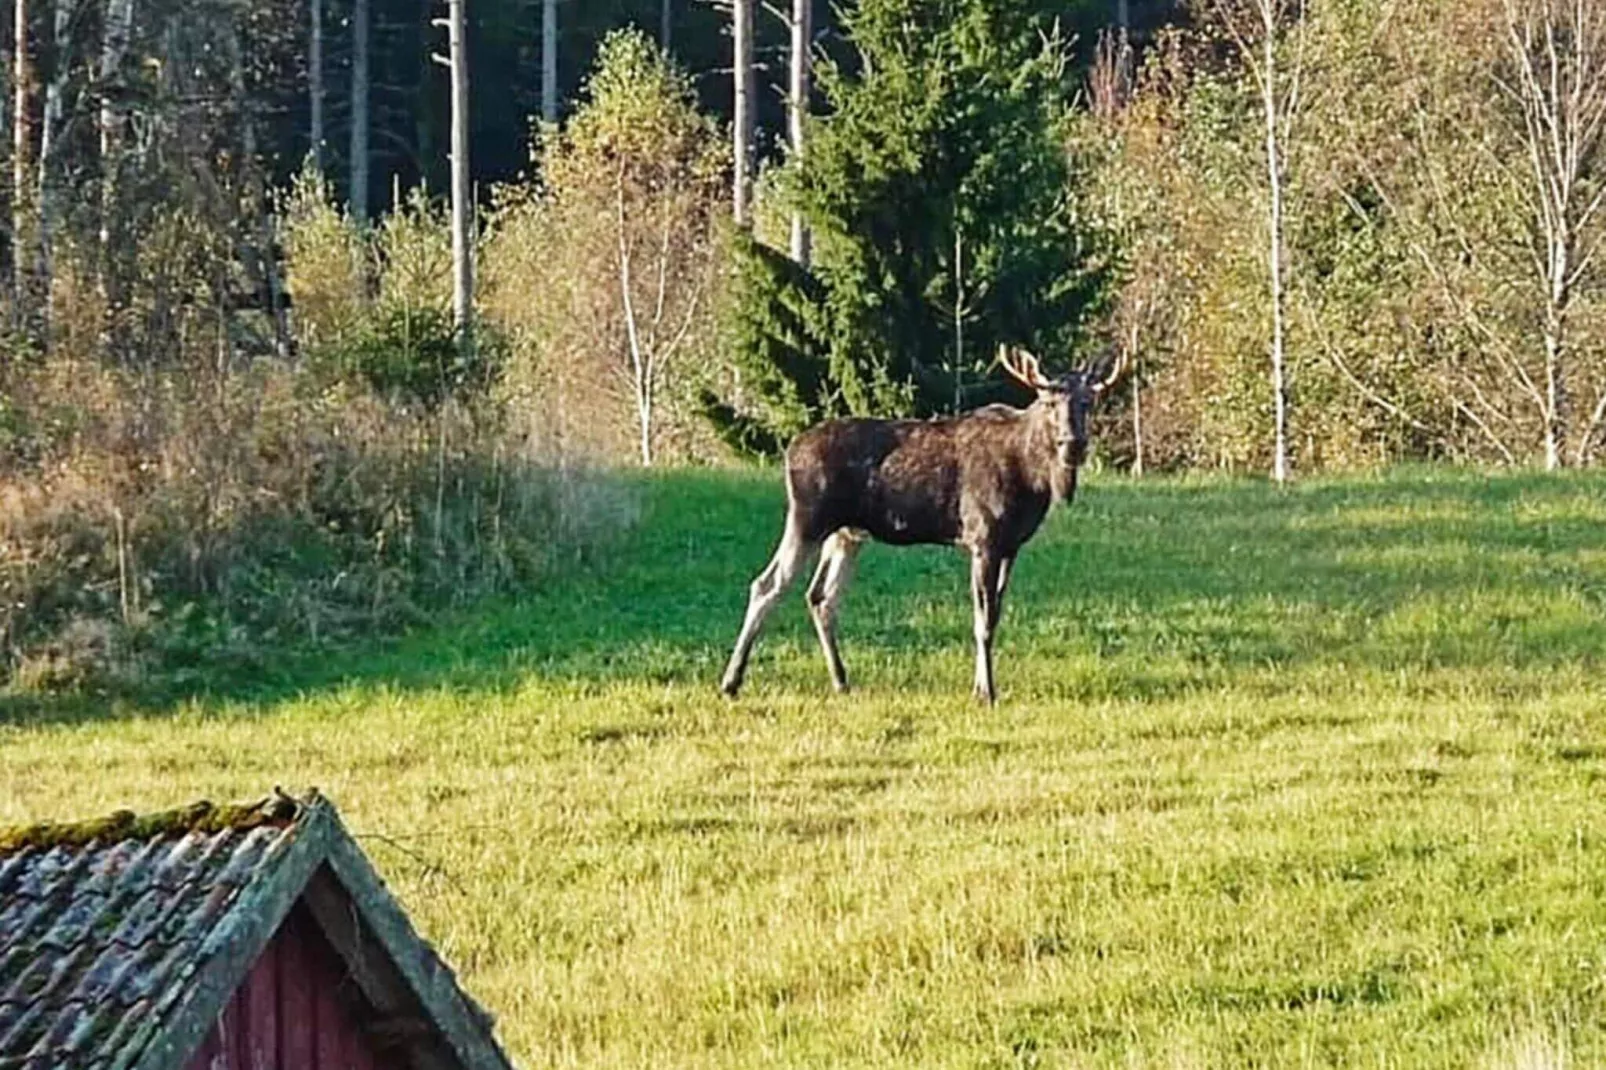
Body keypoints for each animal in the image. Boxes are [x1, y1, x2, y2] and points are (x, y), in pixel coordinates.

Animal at [722, 345, 1124, 703]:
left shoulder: (1011, 545)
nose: (1073, 443)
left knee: (821, 596)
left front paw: (981, 686)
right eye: (1049, 403)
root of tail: (790, 449)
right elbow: (982, 621)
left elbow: (993, 616)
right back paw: (731, 682)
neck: (1033, 479)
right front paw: (986, 693)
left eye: (1087, 402)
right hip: (808, 517)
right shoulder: (982, 538)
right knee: (767, 584)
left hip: (847, 533)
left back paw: (841, 681)